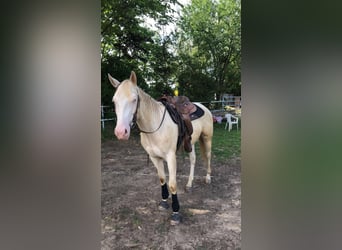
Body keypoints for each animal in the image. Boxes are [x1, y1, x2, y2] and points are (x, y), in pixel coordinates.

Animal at [108, 70, 212, 225]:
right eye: (114, 101)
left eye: (134, 99)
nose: (121, 132)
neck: (154, 124)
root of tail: (203, 106)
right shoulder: (154, 157)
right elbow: (162, 179)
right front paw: (163, 202)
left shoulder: (171, 157)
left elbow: (172, 184)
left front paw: (176, 213)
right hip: (190, 143)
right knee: (193, 160)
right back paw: (189, 184)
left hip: (207, 139)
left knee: (209, 158)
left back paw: (208, 178)